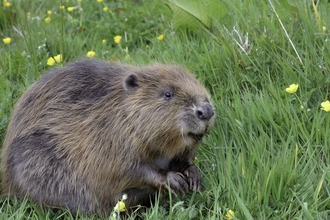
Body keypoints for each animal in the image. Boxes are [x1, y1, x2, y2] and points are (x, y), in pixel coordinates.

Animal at [1, 58, 215, 215]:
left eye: (196, 82)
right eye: (167, 94)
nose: (206, 110)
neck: (119, 110)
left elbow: (183, 158)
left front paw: (193, 176)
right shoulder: (108, 137)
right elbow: (127, 169)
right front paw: (174, 180)